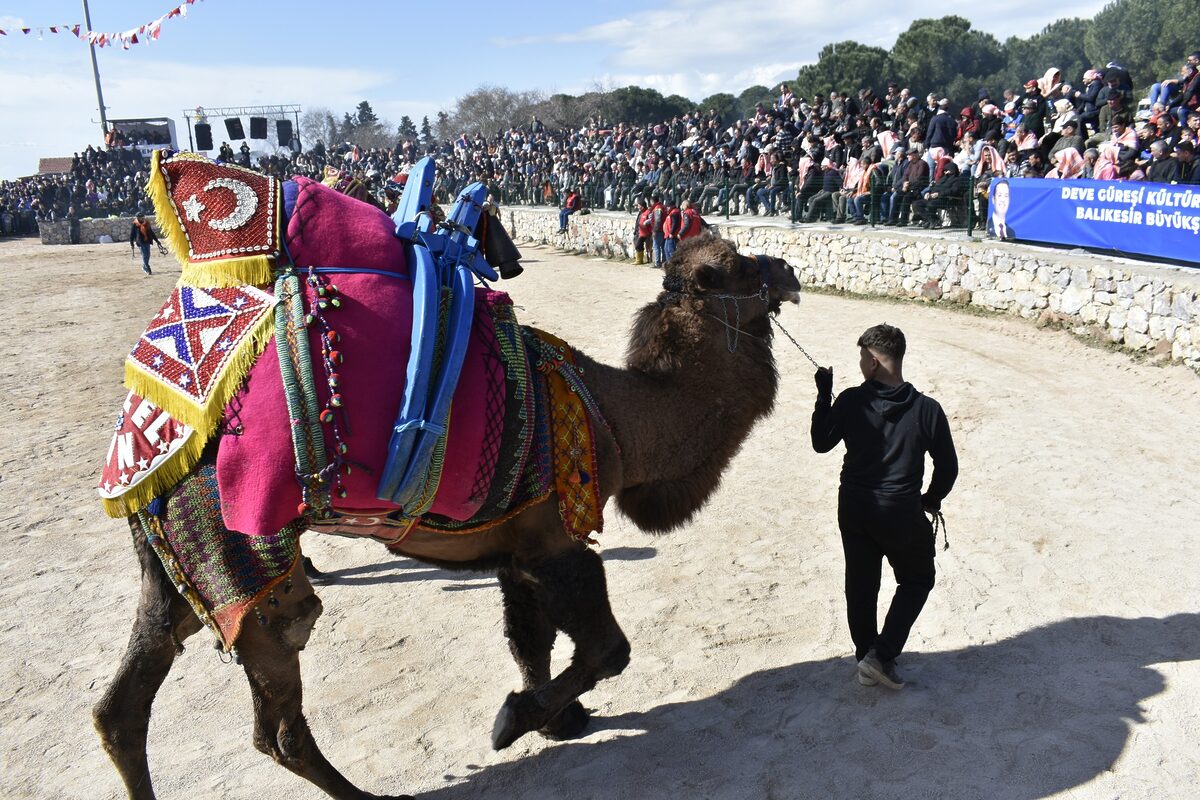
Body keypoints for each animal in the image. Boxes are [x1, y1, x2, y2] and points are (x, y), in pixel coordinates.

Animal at [93, 151, 801, 800]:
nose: (789, 272)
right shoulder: (558, 541)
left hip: (171, 559)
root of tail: (152, 418)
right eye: (737, 266)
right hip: (238, 549)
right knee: (279, 700)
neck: (615, 419)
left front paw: (558, 720)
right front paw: (516, 720)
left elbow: (530, 641)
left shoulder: (519, 546)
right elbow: (608, 649)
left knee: (122, 706)